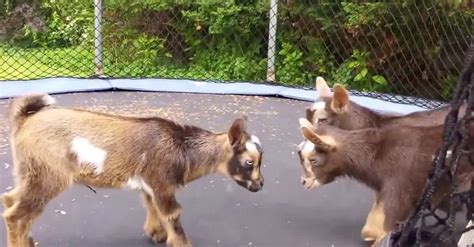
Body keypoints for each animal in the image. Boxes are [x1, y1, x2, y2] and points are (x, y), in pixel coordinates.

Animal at [1, 93, 264, 247]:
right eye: (250, 162)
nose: (260, 185)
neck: (181, 149)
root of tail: (26, 119)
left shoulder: (151, 184)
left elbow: (151, 205)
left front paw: (157, 234)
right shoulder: (162, 182)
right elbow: (172, 214)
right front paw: (178, 241)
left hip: (28, 171)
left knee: (10, 199)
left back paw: (29, 239)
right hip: (48, 175)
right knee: (15, 214)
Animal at [296, 117, 474, 247]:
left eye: (313, 160)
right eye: (301, 157)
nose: (304, 181)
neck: (375, 154)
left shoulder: (400, 185)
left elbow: (374, 229)